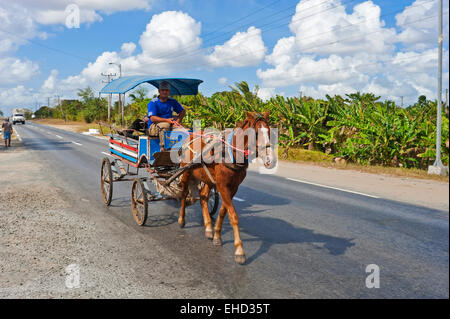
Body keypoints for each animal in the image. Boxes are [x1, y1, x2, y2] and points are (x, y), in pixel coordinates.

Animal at [178, 110, 276, 264]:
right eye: (255, 133)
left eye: (270, 131)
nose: (269, 160)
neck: (232, 154)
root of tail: (191, 135)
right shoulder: (223, 185)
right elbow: (233, 215)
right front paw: (239, 250)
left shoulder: (232, 187)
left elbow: (224, 212)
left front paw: (217, 235)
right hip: (186, 171)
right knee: (183, 194)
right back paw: (181, 220)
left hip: (208, 179)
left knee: (203, 197)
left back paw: (208, 227)